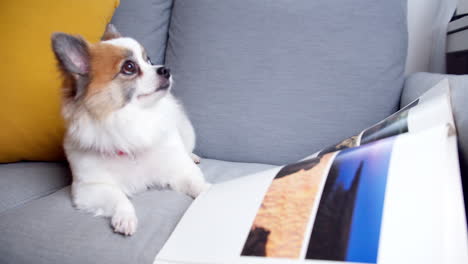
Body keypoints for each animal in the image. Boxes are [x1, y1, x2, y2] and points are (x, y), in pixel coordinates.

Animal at [50, 24, 209, 235]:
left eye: (149, 60)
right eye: (129, 67)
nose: (165, 69)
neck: (133, 122)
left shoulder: (179, 169)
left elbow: (197, 183)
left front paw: (210, 191)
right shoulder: (88, 188)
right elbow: (118, 197)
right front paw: (125, 216)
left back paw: (193, 156)